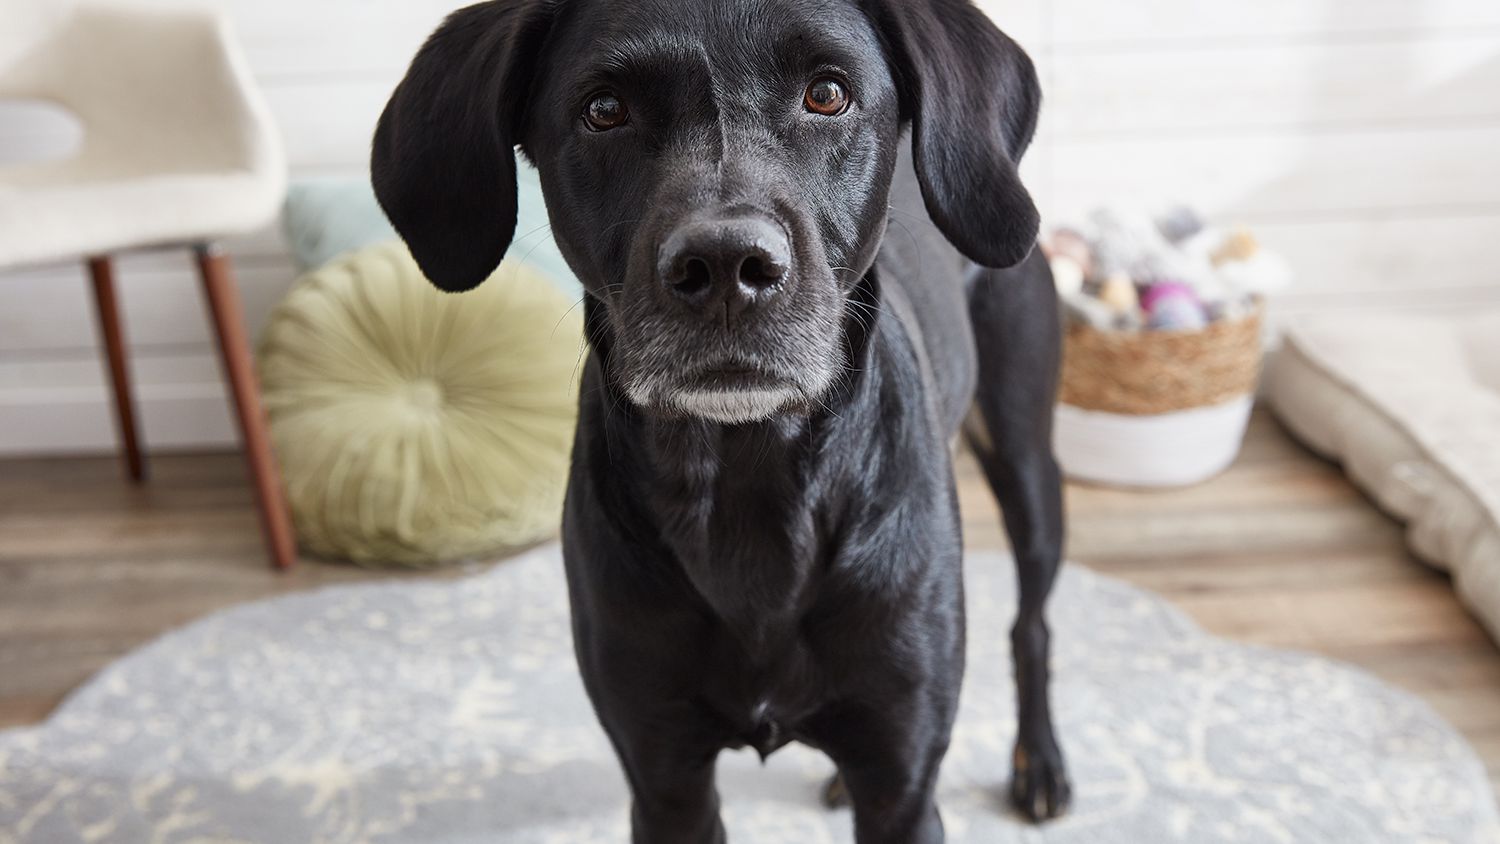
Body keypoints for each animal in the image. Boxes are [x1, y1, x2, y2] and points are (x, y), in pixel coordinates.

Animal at [375, 0, 1074, 839]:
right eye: (604, 109)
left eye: (828, 93)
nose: (726, 269)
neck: (748, 474)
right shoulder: (664, 778)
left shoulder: (902, 786)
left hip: (1025, 459)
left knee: (1032, 624)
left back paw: (1039, 764)